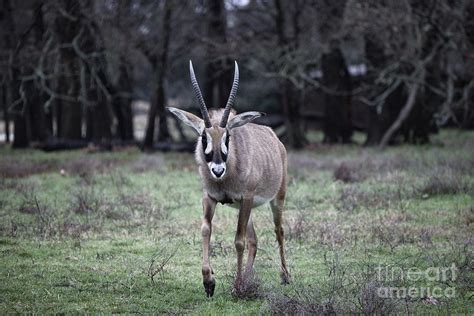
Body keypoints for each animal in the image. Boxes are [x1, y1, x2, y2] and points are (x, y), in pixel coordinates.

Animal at [168, 60, 290, 298]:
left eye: (228, 137)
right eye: (204, 137)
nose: (217, 170)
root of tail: (276, 139)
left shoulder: (246, 198)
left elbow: (238, 242)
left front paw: (237, 286)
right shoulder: (210, 198)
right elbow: (206, 230)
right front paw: (208, 282)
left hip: (275, 199)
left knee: (278, 231)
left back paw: (284, 276)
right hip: (245, 207)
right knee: (254, 240)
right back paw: (250, 278)